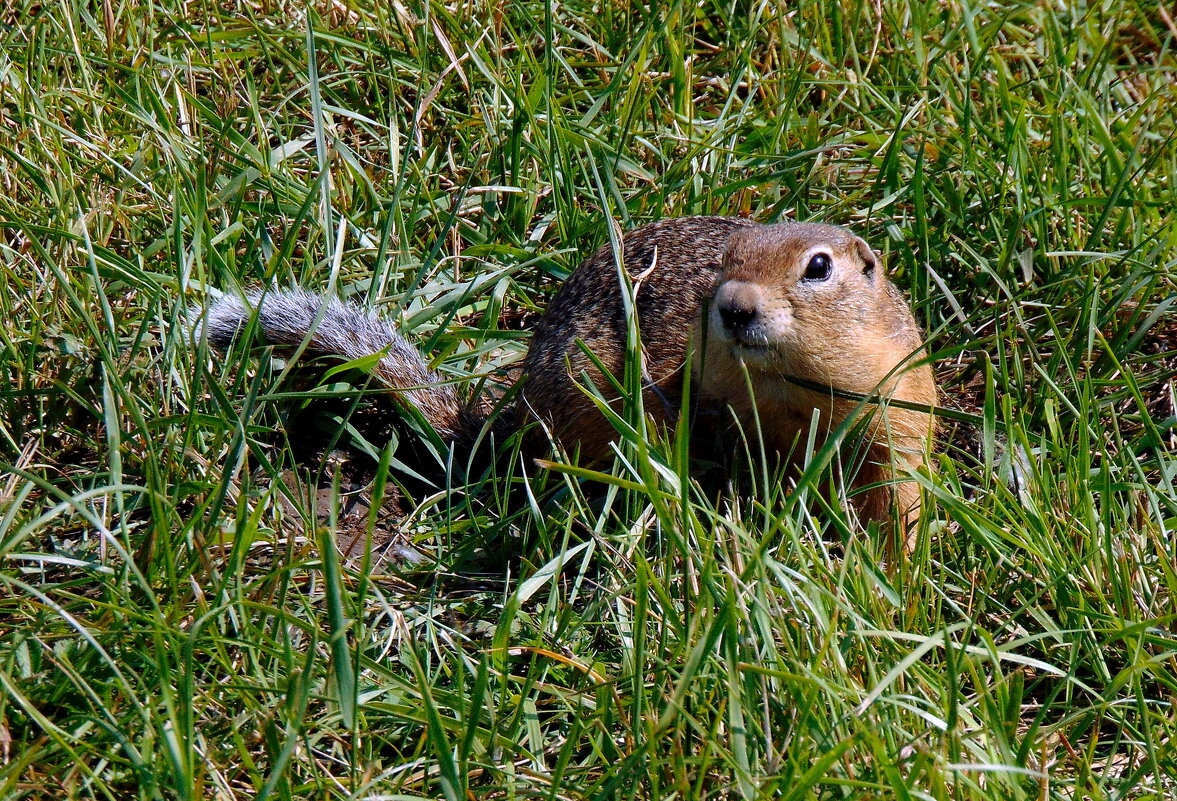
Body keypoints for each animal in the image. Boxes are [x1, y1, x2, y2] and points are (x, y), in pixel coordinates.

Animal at [202, 217, 936, 531]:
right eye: (725, 262)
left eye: (817, 267)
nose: (732, 306)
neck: (790, 388)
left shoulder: (896, 415)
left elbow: (896, 497)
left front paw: (900, 578)